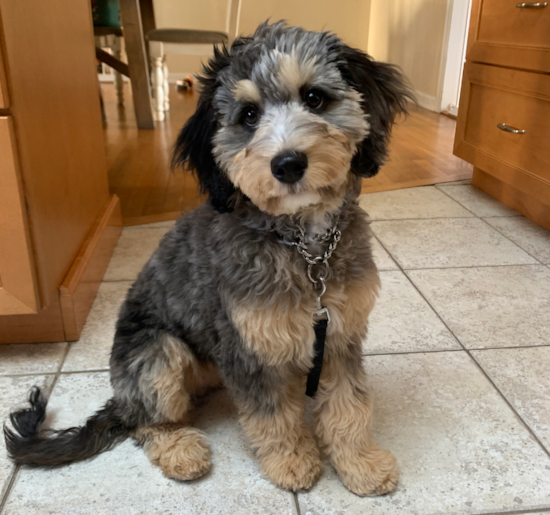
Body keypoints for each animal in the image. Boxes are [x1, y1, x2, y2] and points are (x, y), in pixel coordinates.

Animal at [3, 22, 410, 498]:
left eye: (314, 98)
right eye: (248, 116)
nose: (288, 164)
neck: (303, 247)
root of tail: (123, 397)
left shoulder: (339, 337)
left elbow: (348, 406)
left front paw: (361, 463)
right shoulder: (249, 346)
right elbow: (273, 415)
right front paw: (292, 461)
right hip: (157, 357)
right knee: (147, 421)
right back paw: (180, 449)